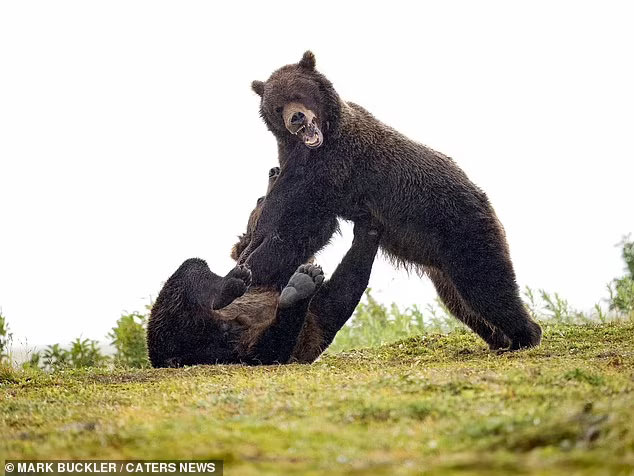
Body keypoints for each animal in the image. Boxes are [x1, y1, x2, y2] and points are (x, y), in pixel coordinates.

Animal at [147, 167, 380, 368]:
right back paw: (235, 285)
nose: (274, 170)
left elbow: (341, 290)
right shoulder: (260, 264)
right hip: (167, 329)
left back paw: (299, 288)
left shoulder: (314, 316)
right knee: (192, 269)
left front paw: (368, 225)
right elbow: (277, 251)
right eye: (260, 199)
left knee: (270, 347)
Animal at [239, 50, 540, 352]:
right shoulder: (301, 167)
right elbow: (296, 224)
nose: (297, 118)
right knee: (462, 302)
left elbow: (298, 226)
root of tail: (480, 194)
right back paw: (499, 339)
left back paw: (524, 337)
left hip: (461, 228)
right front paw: (251, 256)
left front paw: (253, 266)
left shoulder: (333, 168)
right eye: (278, 107)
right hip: (439, 261)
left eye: (299, 93)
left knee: (487, 285)